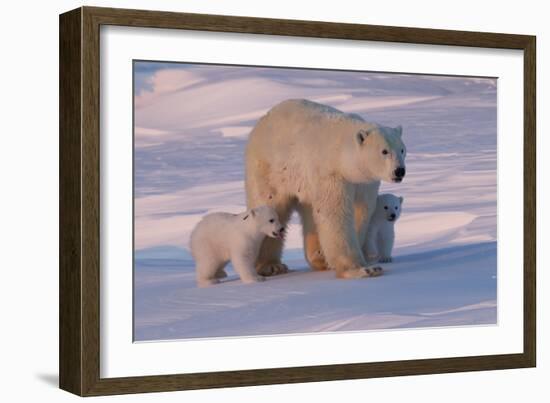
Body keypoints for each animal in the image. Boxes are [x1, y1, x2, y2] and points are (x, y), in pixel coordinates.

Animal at [245, 99, 406, 280]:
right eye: (384, 151)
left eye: (402, 149)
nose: (399, 171)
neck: (341, 154)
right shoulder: (330, 175)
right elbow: (336, 213)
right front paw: (362, 269)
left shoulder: (365, 182)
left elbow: (361, 211)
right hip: (271, 169)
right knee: (271, 205)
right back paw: (271, 266)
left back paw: (320, 258)